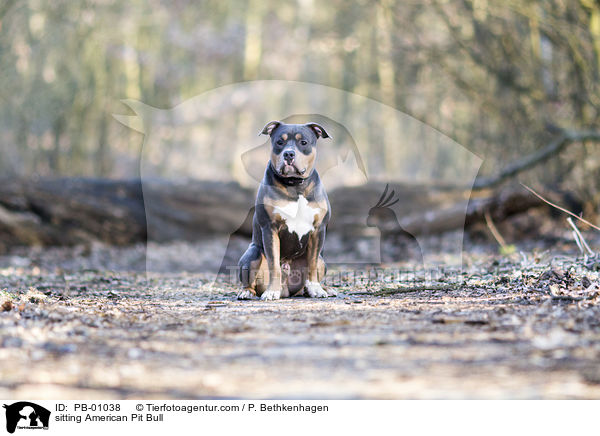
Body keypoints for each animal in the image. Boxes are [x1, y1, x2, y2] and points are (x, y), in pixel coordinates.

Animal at [236, 121, 338, 302]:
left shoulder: (318, 230)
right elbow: (274, 264)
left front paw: (316, 289)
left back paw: (319, 289)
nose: (289, 154)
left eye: (303, 142)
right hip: (252, 254)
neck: (295, 185)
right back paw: (246, 292)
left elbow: (312, 264)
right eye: (279, 142)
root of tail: (288, 291)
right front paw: (271, 291)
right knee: (250, 279)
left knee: (315, 267)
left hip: (322, 260)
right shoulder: (270, 229)